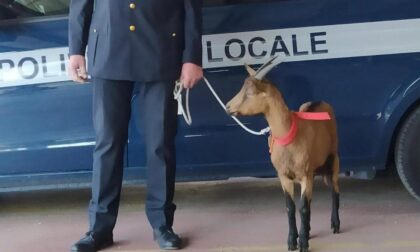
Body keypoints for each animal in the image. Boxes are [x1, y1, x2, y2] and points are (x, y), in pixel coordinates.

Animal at [225, 60, 340, 252]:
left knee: (335, 191)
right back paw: (309, 230)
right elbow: (290, 207)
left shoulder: (305, 175)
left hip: (334, 158)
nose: (227, 106)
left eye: (250, 92)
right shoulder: (284, 176)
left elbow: (303, 208)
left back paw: (335, 224)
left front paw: (303, 243)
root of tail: (321, 102)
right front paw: (293, 240)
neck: (290, 133)